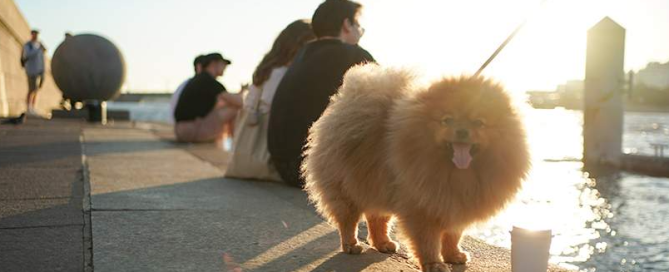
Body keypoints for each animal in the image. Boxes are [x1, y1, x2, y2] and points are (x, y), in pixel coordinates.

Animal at [302, 64, 528, 272]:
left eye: (479, 123)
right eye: (447, 120)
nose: (462, 131)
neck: (456, 174)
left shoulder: (455, 204)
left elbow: (453, 235)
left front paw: (453, 255)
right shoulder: (422, 206)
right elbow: (428, 240)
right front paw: (434, 263)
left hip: (378, 185)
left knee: (377, 217)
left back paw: (383, 243)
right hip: (347, 186)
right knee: (348, 219)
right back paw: (351, 245)